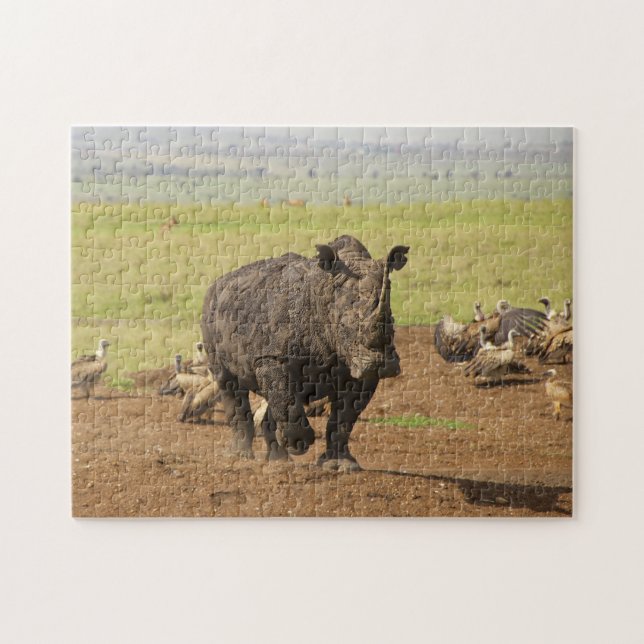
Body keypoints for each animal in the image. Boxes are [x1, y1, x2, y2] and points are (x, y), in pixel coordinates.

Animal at [201, 235, 409, 471]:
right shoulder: (273, 357)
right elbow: (287, 399)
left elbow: (344, 418)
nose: (382, 364)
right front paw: (300, 444)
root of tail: (219, 282)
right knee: (229, 382)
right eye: (344, 327)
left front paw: (342, 464)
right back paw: (241, 456)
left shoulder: (358, 369)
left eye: (392, 322)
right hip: (209, 313)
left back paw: (278, 460)